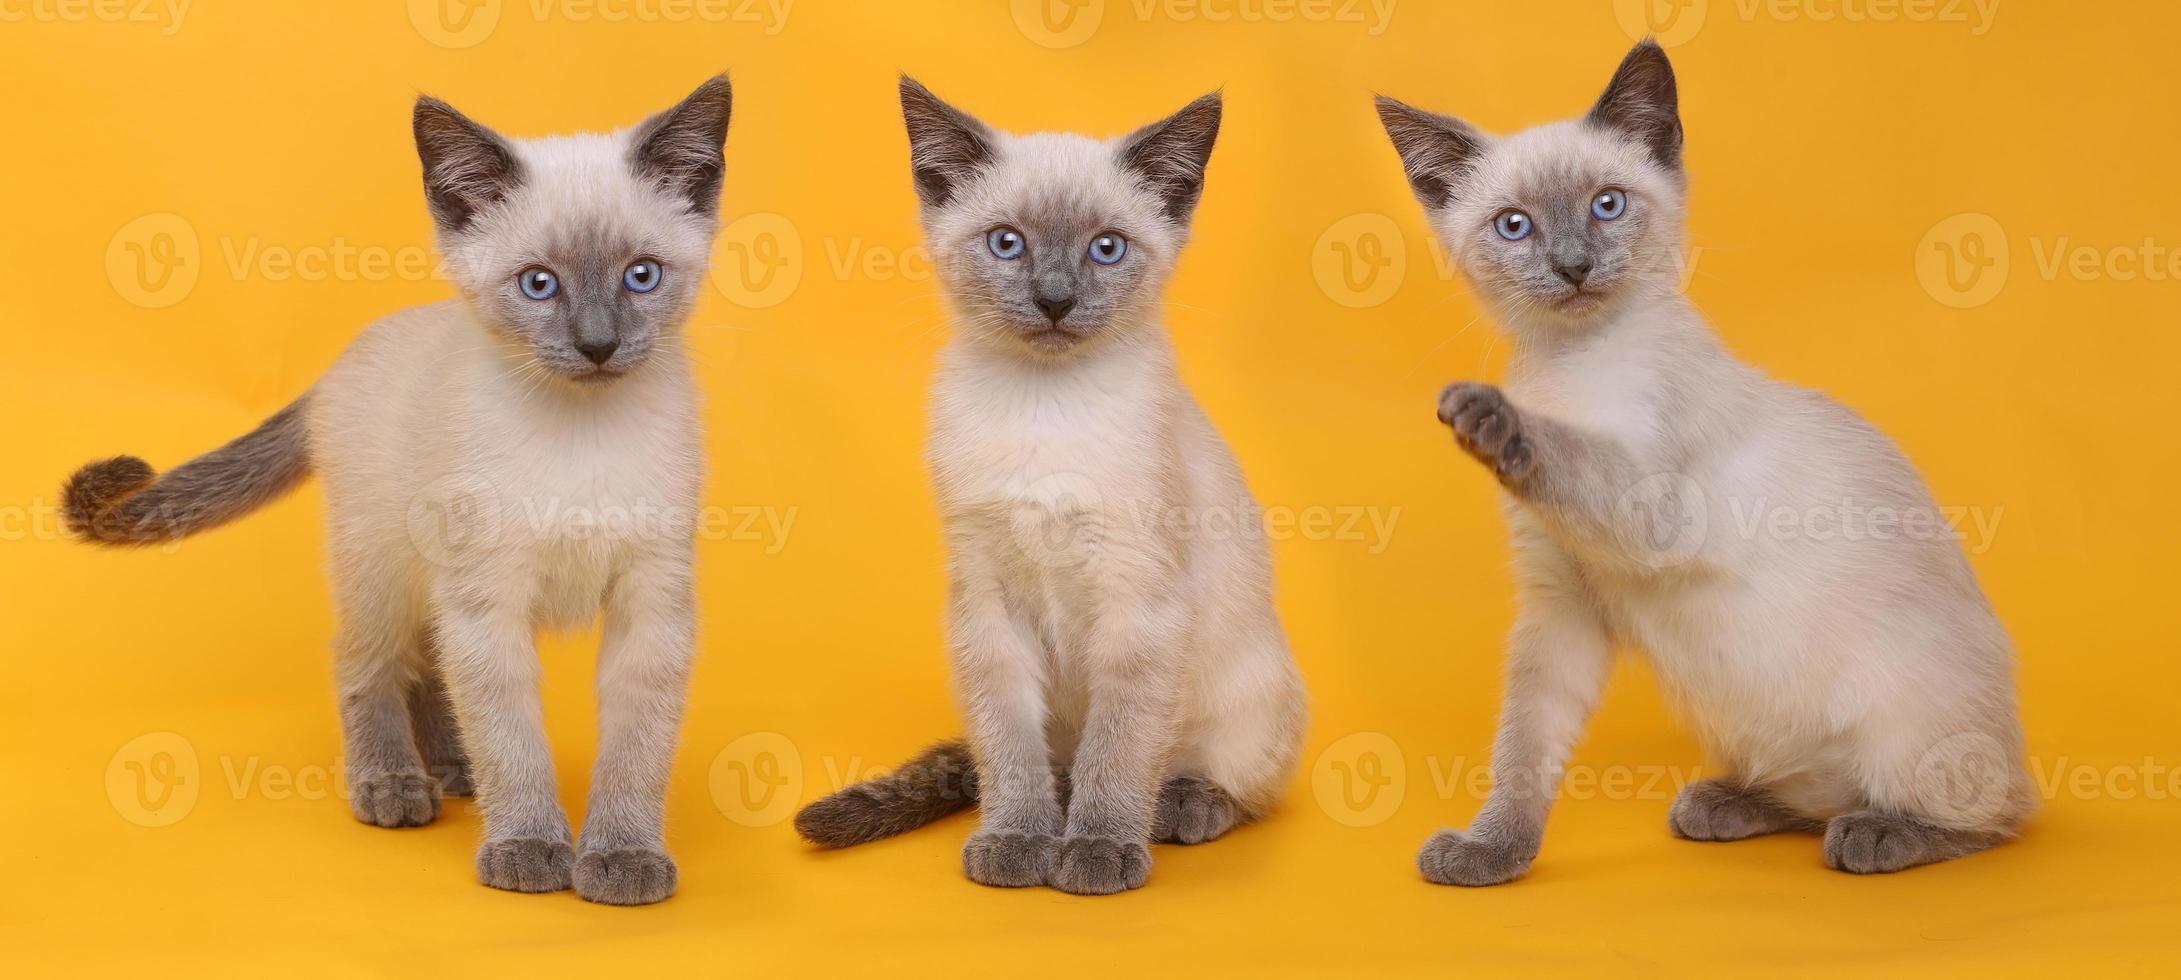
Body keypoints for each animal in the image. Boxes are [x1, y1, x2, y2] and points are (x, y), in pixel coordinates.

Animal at [61, 78, 732, 907]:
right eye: (539, 284)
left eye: (642, 275)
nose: (598, 346)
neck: (582, 432)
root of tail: (343, 364)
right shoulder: (489, 598)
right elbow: (513, 740)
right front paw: (529, 848)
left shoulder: (651, 599)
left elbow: (636, 748)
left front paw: (622, 858)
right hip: (382, 567)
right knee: (367, 662)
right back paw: (393, 785)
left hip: (434, 582)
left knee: (430, 663)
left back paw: (452, 768)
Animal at [802, 80, 1308, 899]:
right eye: (1007, 243)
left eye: (1106, 247)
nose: (1055, 299)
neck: (1044, 408)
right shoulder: (987, 606)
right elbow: (1009, 751)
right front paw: (1017, 841)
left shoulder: (1139, 607)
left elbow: (1118, 750)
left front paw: (1097, 850)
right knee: (1051, 769)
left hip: (1250, 700)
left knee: (1226, 783)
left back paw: (1180, 807)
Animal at [1378, 40, 2023, 877]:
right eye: (1514, 226)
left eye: (1607, 205)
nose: (1572, 265)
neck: (1568, 365)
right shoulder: (1561, 601)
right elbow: (1523, 748)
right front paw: (1492, 854)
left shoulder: (1644, 506)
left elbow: (1565, 453)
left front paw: (1486, 418)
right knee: (1816, 795)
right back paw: (1725, 805)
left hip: (1911, 730)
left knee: (1993, 817)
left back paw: (1877, 833)